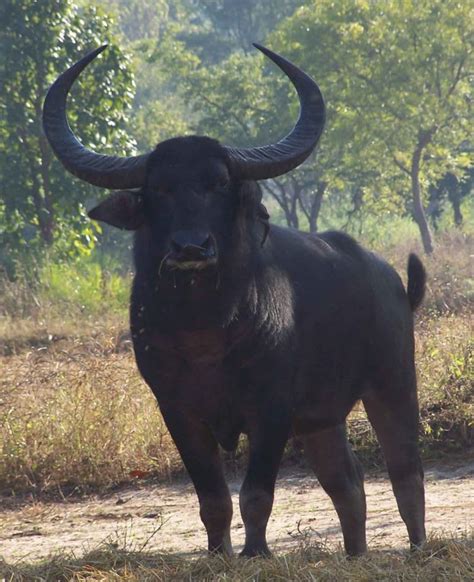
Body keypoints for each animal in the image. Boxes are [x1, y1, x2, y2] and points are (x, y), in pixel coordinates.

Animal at [42, 44, 426, 556]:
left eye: (219, 183)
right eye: (158, 188)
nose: (190, 248)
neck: (204, 331)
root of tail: (393, 282)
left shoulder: (272, 409)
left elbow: (256, 493)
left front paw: (256, 552)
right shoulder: (177, 410)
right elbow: (213, 498)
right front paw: (218, 553)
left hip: (393, 382)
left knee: (406, 472)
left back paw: (419, 547)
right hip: (323, 421)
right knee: (347, 482)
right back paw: (354, 553)